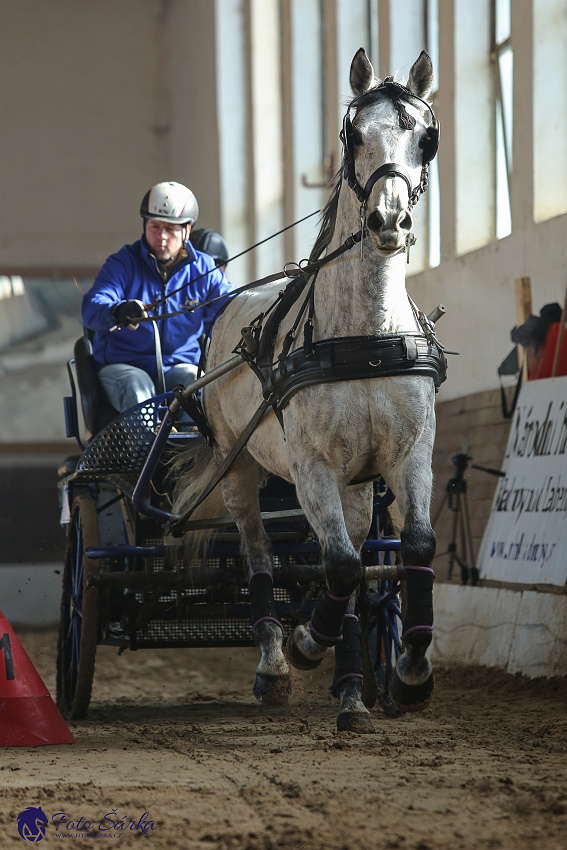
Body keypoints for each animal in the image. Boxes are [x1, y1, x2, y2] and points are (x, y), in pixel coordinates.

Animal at [175, 49, 442, 728]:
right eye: (354, 136)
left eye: (424, 139)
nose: (388, 219)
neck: (364, 334)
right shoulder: (312, 465)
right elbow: (343, 565)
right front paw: (303, 644)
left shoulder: (408, 455)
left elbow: (413, 546)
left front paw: (410, 673)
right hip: (239, 466)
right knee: (260, 555)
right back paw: (275, 661)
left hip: (355, 483)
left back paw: (351, 694)